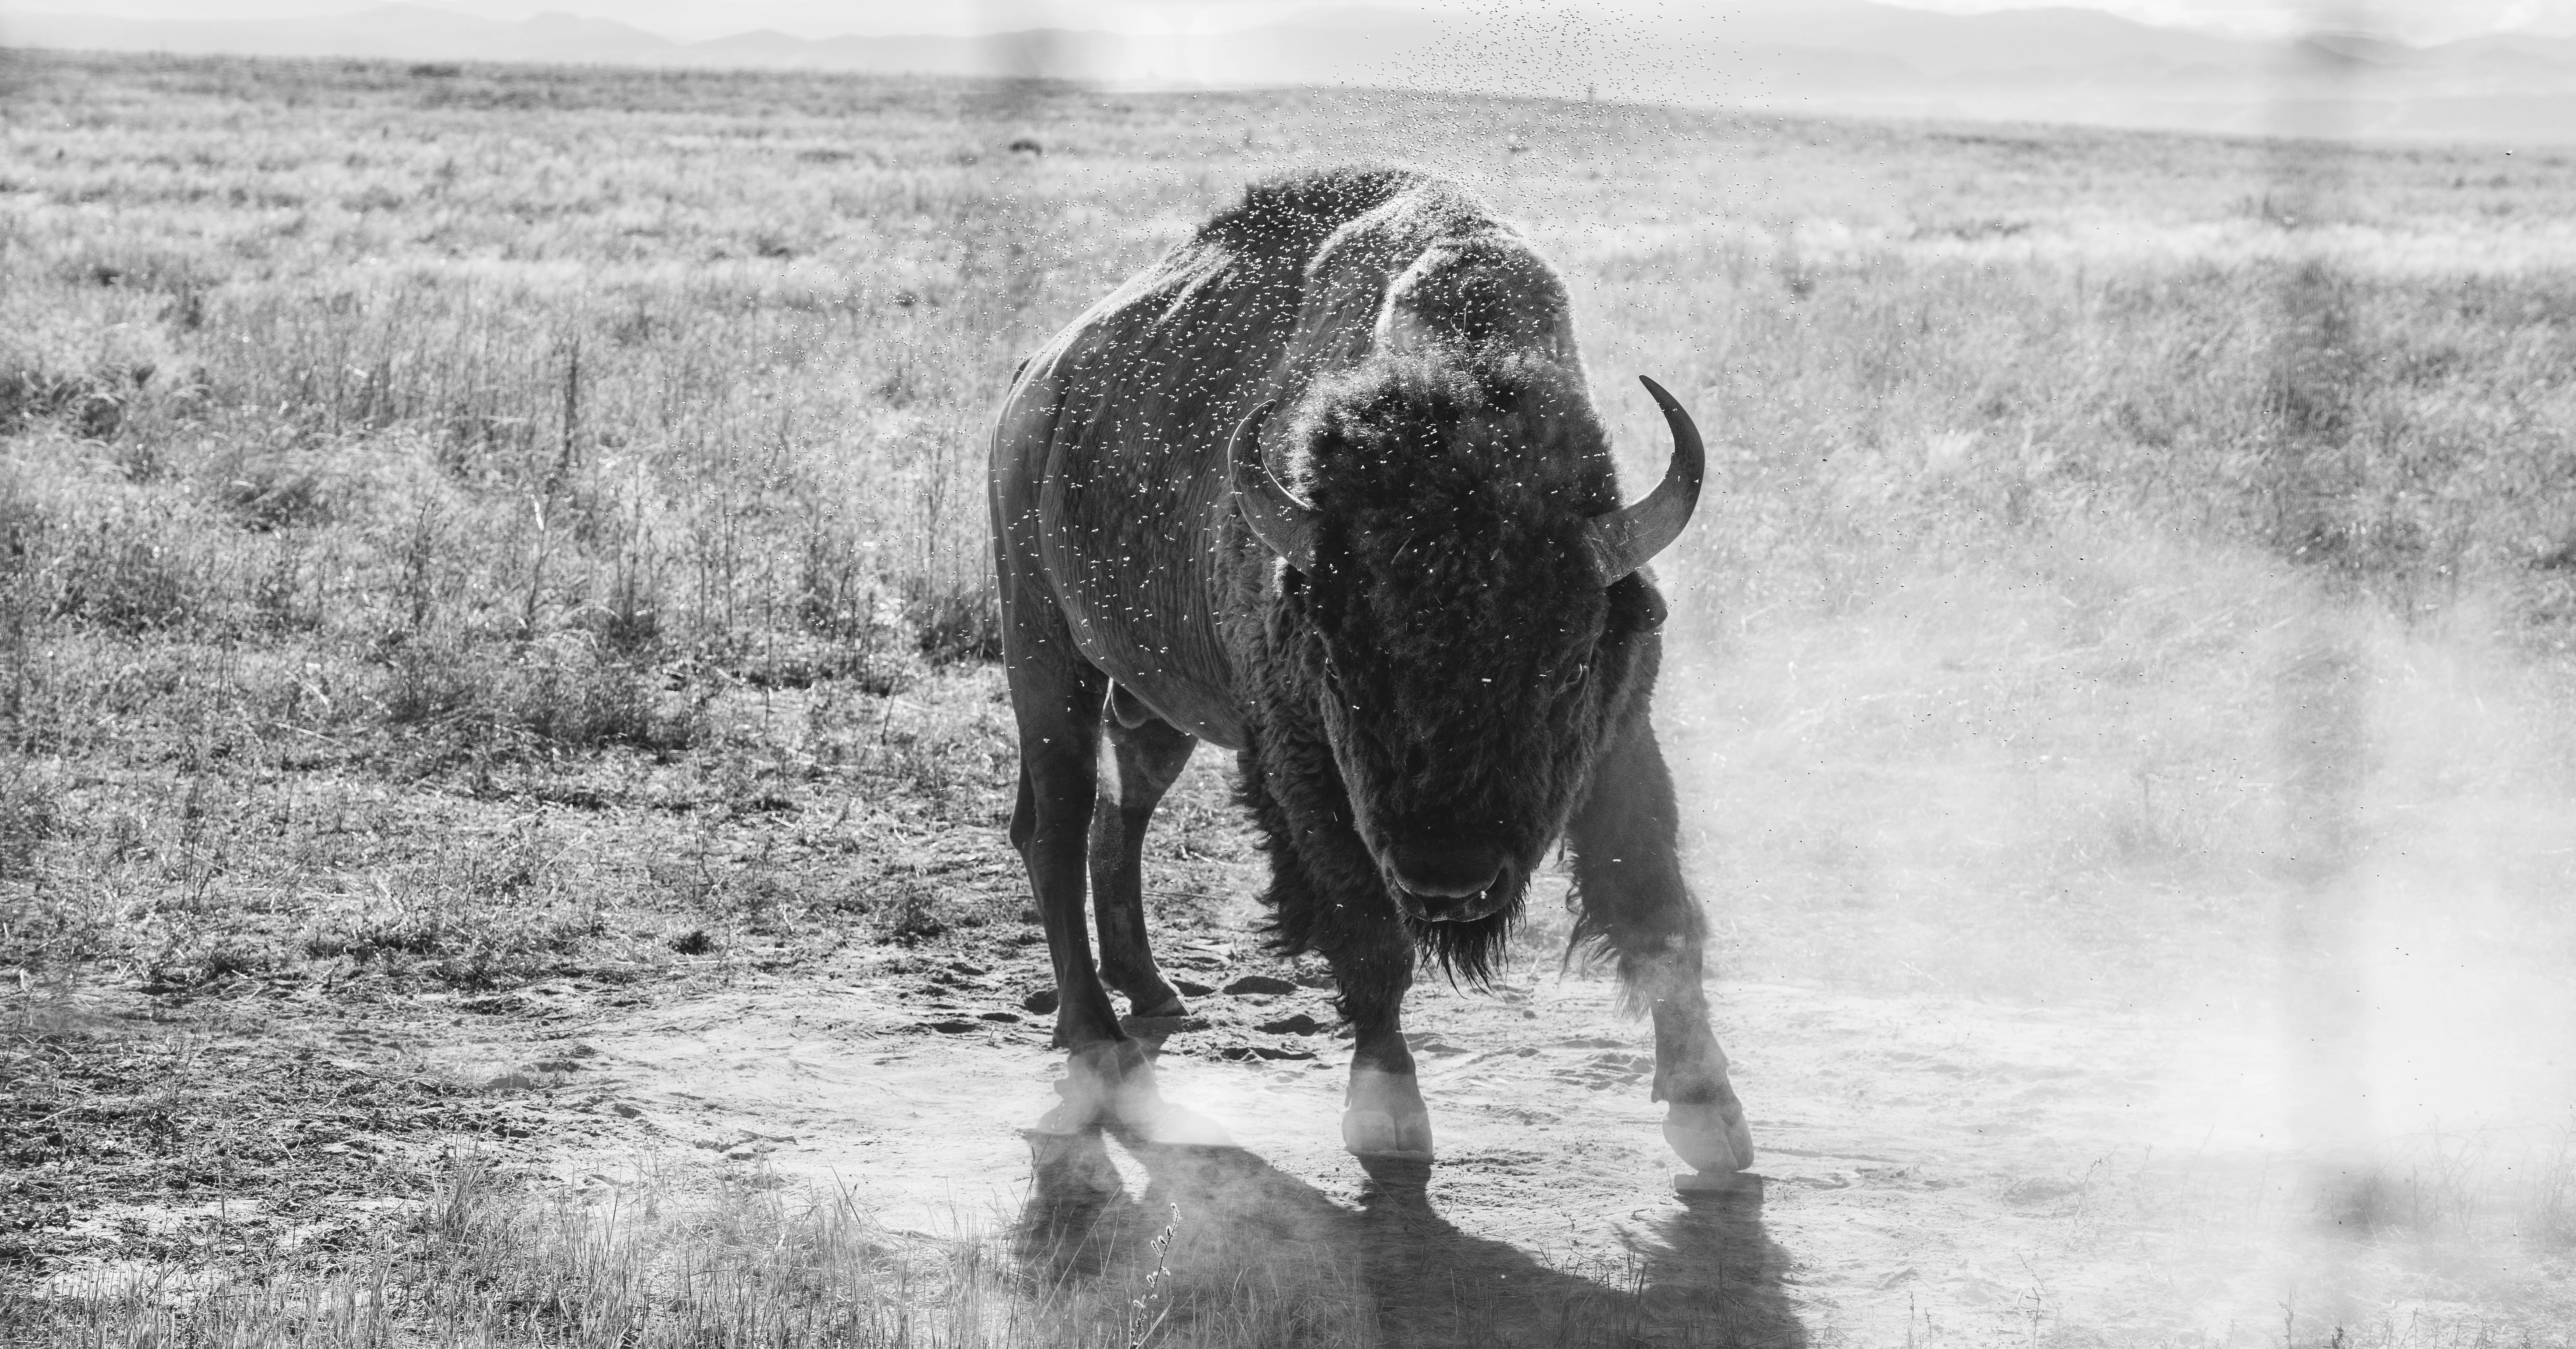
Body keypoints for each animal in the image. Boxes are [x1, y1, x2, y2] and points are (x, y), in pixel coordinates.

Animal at [988, 166, 1751, 1174]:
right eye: (1346, 668)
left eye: (1566, 664)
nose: (1446, 880)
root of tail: (1035, 384)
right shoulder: (1303, 767)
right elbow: (1367, 929)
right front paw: (1388, 1112)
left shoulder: (1622, 736)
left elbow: (1658, 908)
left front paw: (1711, 1112)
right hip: (1043, 651)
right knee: (1057, 826)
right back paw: (1099, 1039)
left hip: (1156, 701)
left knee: (1125, 804)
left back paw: (1152, 988)